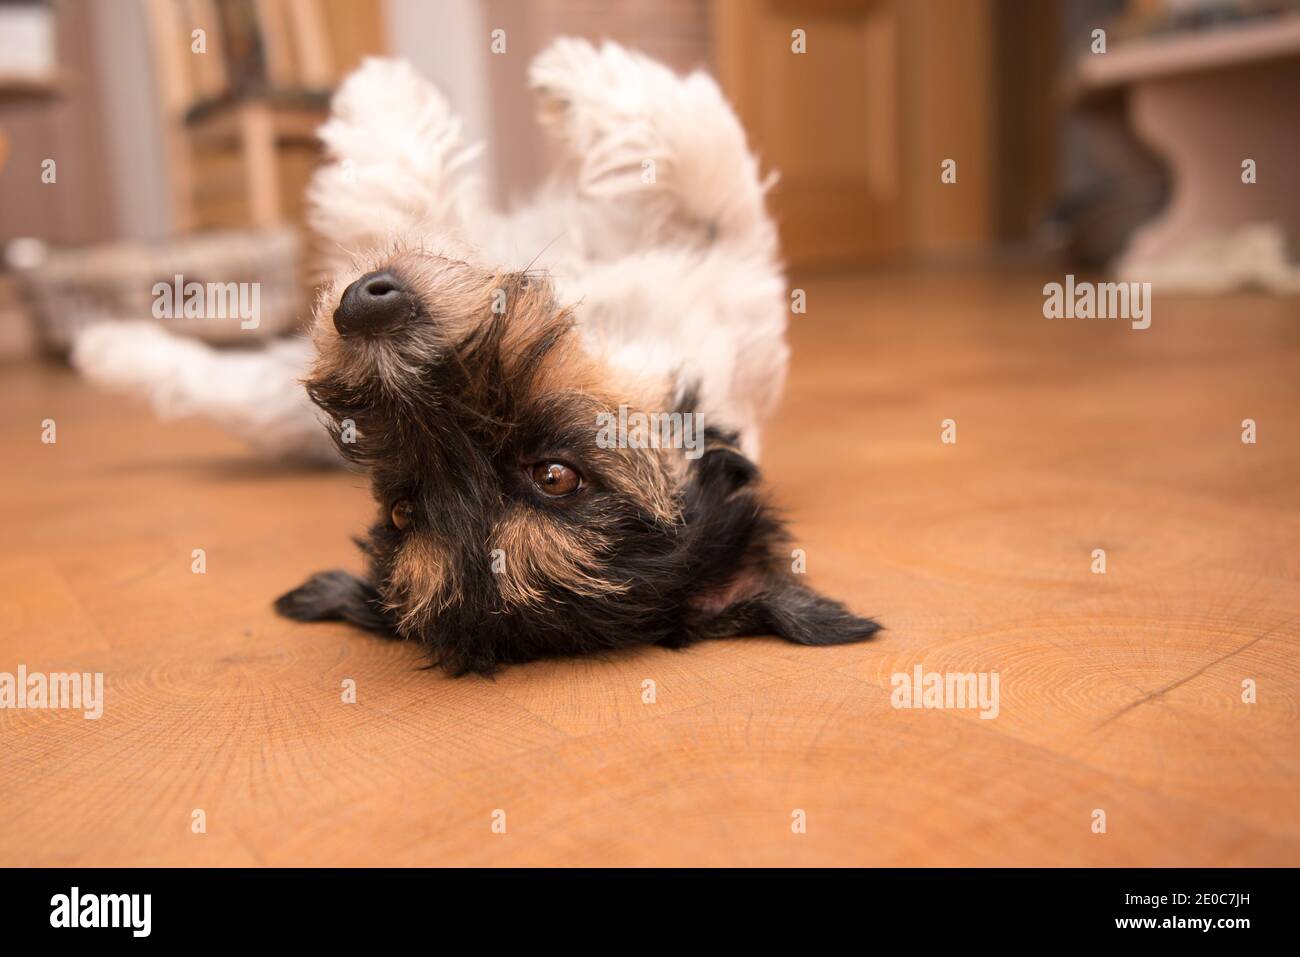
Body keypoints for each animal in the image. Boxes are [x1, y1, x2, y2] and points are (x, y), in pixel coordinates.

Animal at [73, 41, 883, 670]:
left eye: (555, 475)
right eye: (403, 509)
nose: (365, 308)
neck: (610, 333)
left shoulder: (725, 235)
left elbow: (686, 135)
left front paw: (541, 73)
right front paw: (109, 345)